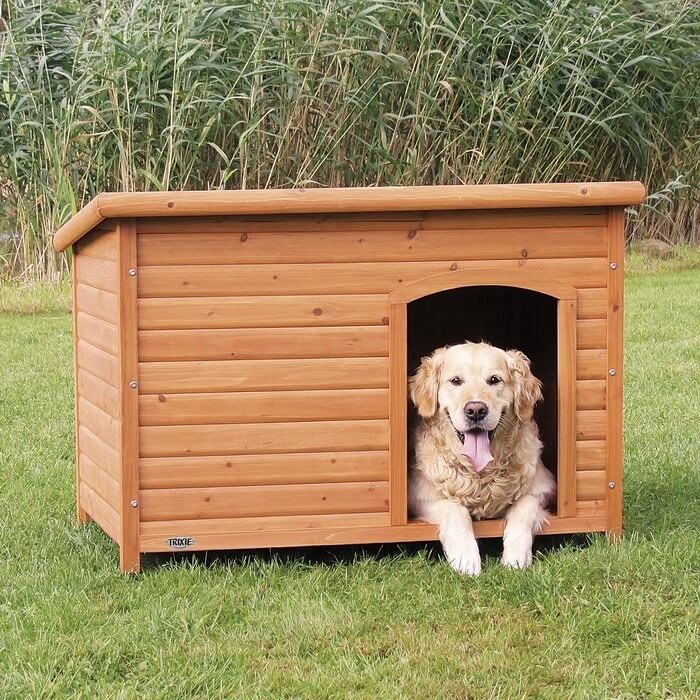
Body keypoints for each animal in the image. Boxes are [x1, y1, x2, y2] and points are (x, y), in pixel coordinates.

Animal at [408, 340, 556, 576]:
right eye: (456, 381)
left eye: (494, 380)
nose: (476, 410)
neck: (480, 473)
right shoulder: (420, 496)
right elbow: (456, 510)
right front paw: (466, 559)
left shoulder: (545, 487)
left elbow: (524, 506)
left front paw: (516, 556)